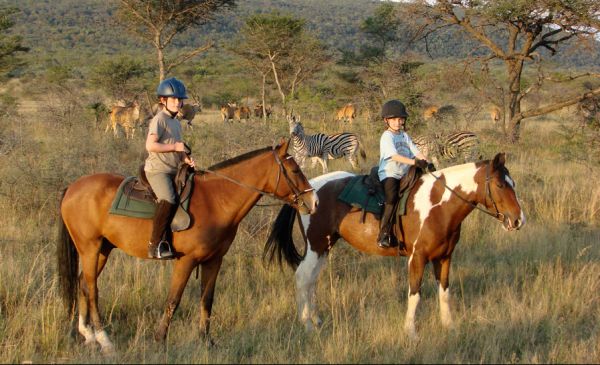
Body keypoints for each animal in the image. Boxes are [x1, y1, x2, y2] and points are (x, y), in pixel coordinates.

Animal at [56, 139, 318, 352]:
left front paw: (206, 340)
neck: (216, 201)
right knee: (92, 289)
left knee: (83, 284)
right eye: (295, 170)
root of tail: (72, 187)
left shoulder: (213, 260)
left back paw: (88, 335)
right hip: (89, 249)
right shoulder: (186, 261)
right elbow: (173, 300)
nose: (313, 201)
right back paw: (104, 340)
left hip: (102, 249)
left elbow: (207, 299)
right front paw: (160, 340)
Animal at [264, 152, 524, 336]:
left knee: (311, 281)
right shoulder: (417, 258)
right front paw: (411, 333)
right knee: (302, 278)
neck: (438, 205)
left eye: (513, 182)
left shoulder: (444, 257)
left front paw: (449, 327)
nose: (518, 220)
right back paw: (307, 325)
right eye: (500, 185)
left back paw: (316, 320)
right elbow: (415, 294)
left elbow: (444, 293)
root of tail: (306, 193)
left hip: (323, 247)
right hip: (316, 246)